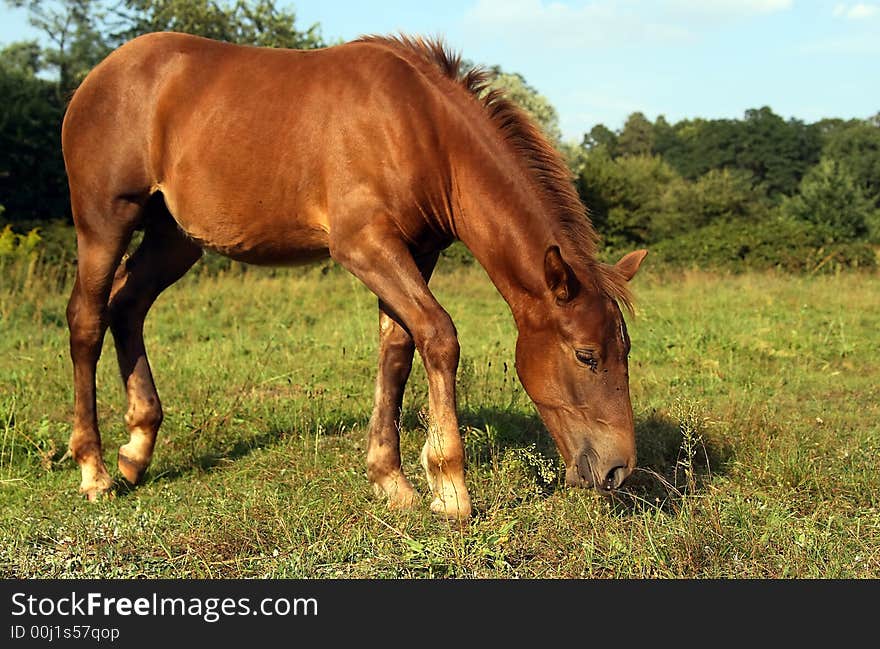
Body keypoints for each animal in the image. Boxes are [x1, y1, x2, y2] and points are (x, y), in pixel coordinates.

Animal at [60, 30, 648, 520]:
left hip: (174, 239)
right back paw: (94, 470)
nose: (618, 470)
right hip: (105, 221)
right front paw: (450, 487)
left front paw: (393, 481)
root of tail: (98, 76)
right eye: (586, 356)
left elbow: (398, 350)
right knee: (87, 318)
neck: (422, 131)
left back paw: (137, 450)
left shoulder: (417, 251)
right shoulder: (364, 245)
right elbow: (439, 335)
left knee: (128, 306)